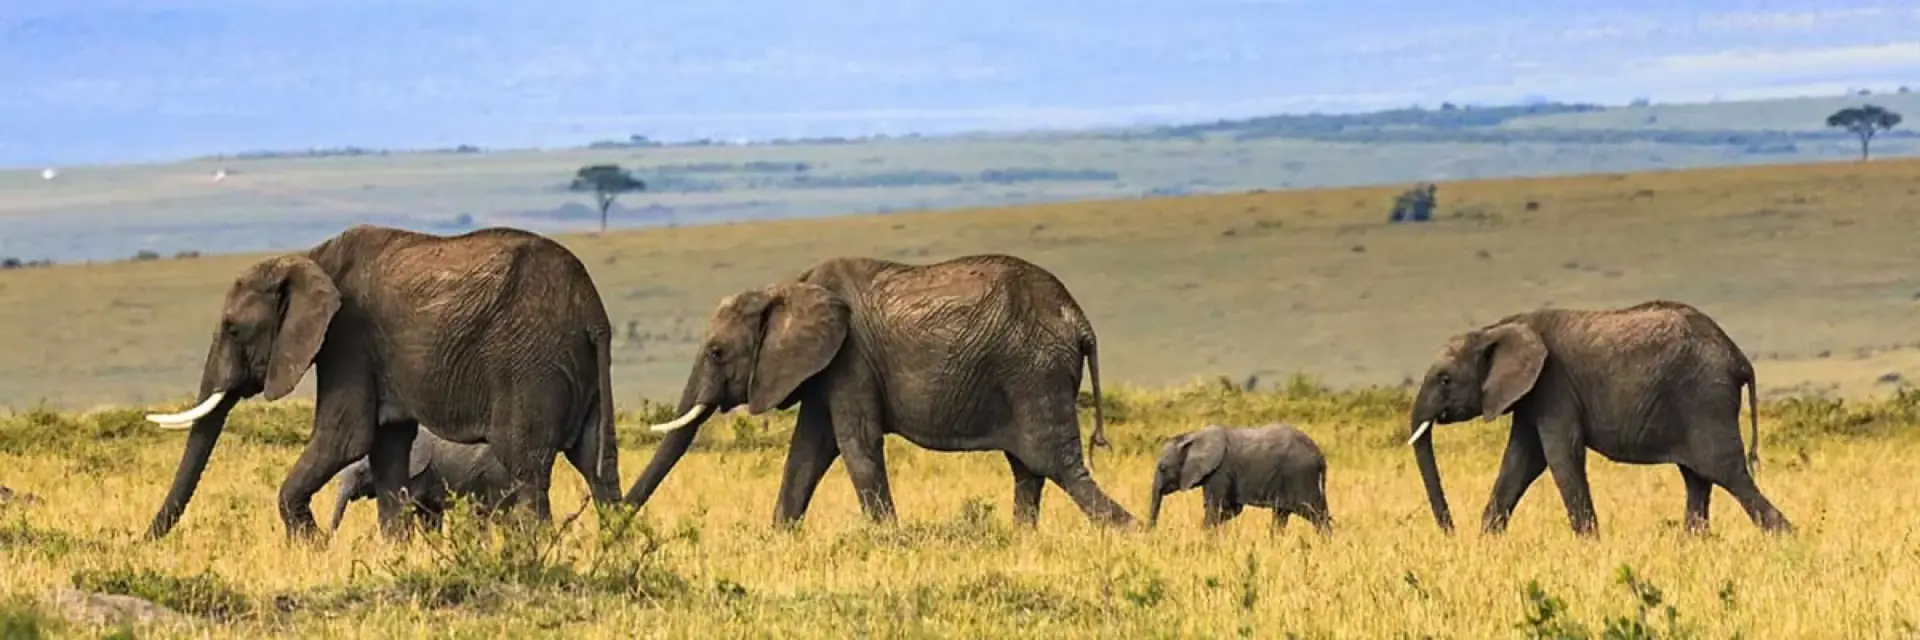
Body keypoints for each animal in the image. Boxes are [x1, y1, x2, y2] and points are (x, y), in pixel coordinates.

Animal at [623, 253, 1136, 529]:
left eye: (715, 352)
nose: (613, 523)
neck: (788, 286)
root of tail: (1080, 321)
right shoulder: (826, 367)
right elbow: (808, 451)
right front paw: (778, 537)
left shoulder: (850, 359)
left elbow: (856, 444)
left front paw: (889, 538)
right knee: (1029, 468)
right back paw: (1021, 539)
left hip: (1034, 372)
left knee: (1055, 463)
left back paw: (1133, 532)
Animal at [1149, 423, 1332, 535]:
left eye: (1163, 468)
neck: (1193, 436)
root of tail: (1321, 456)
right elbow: (1232, 509)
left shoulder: (1220, 471)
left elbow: (1214, 508)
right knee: (1282, 515)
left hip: (1301, 477)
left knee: (1316, 515)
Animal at [1405, 299, 1792, 539]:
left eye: (1445, 380)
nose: (1451, 532)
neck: (1496, 328)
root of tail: (1739, 357)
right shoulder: (1531, 395)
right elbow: (1520, 461)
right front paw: (1487, 541)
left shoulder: (1554, 385)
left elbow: (1560, 456)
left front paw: (1590, 544)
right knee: (1697, 478)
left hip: (1705, 399)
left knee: (1725, 471)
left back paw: (1786, 539)